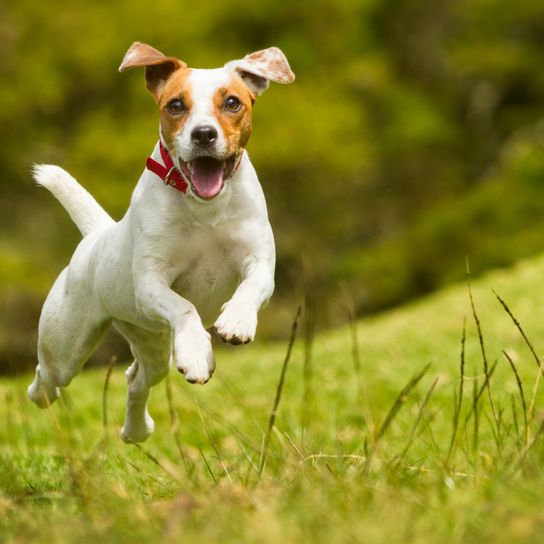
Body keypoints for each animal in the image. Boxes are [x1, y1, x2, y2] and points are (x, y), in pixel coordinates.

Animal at [27, 41, 296, 442]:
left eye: (232, 102)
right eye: (176, 105)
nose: (204, 134)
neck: (205, 208)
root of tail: (96, 235)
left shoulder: (259, 262)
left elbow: (250, 287)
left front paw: (236, 321)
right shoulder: (151, 283)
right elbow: (184, 307)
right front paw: (197, 351)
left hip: (150, 342)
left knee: (136, 379)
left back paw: (136, 430)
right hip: (66, 346)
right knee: (47, 377)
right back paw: (43, 395)